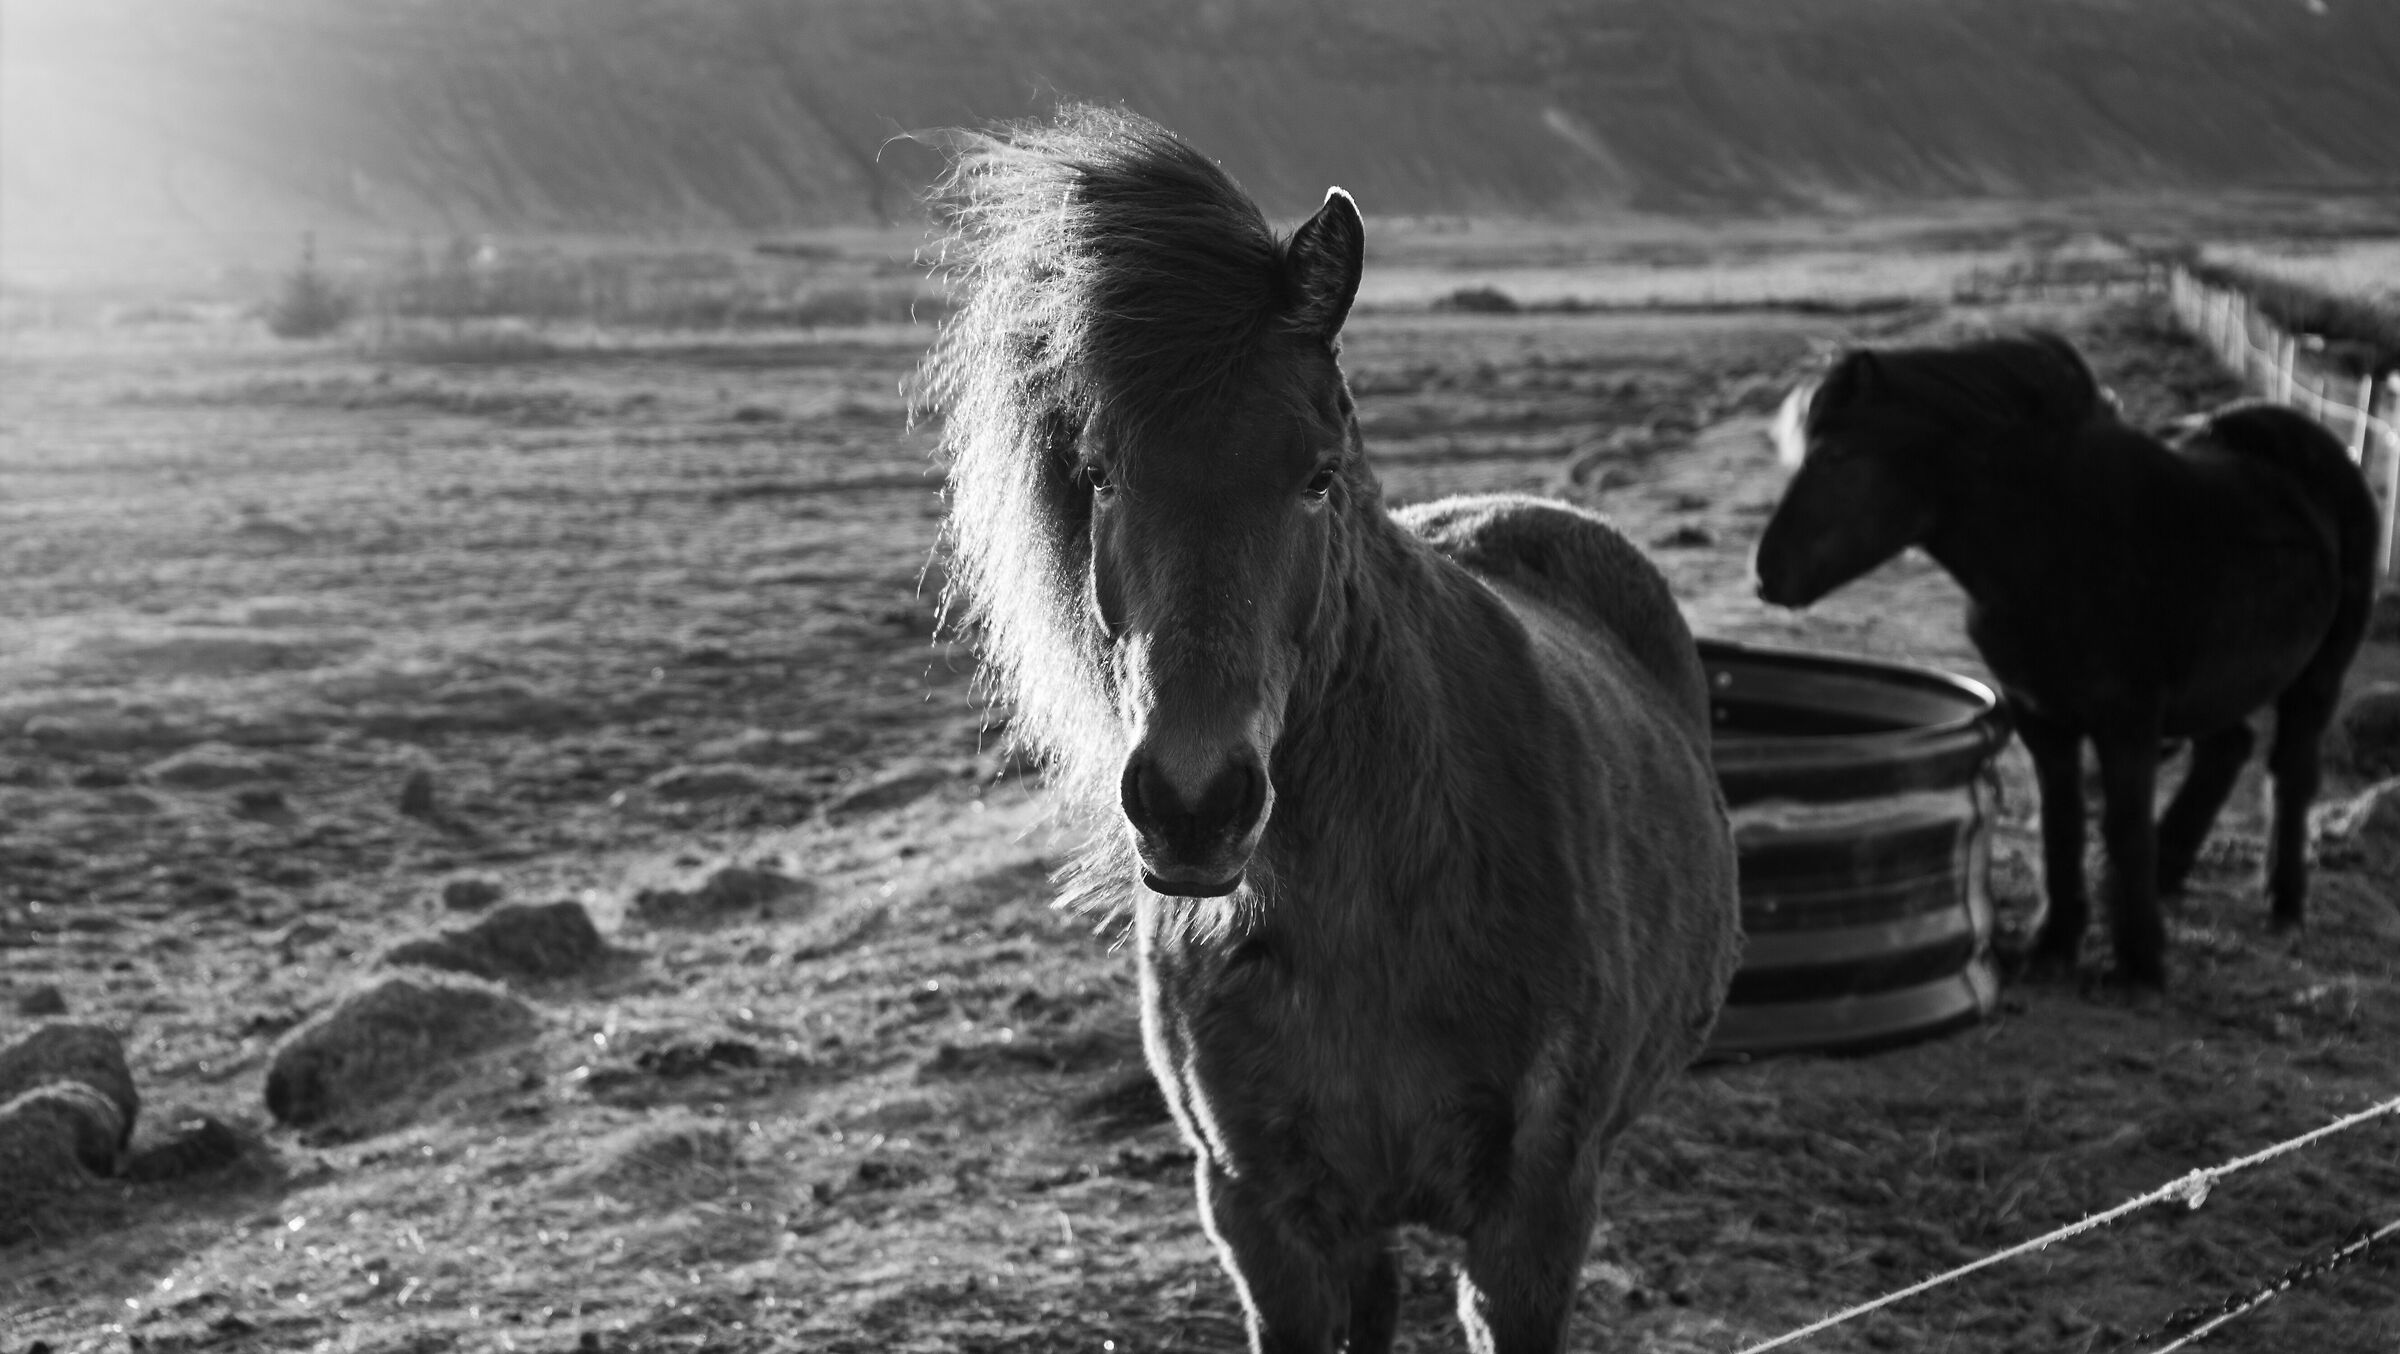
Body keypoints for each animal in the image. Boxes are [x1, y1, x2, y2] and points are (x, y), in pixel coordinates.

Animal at [1754, 330, 2379, 989]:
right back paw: (2170, 871)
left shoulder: (2128, 723)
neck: (2060, 543)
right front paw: (2055, 942)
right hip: (2222, 680)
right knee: (2228, 748)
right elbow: (2062, 822)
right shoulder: (2041, 718)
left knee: (2290, 772)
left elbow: (2123, 825)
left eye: (1833, 456)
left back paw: (2283, 904)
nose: (1767, 575)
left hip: (2318, 676)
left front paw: (2138, 963)